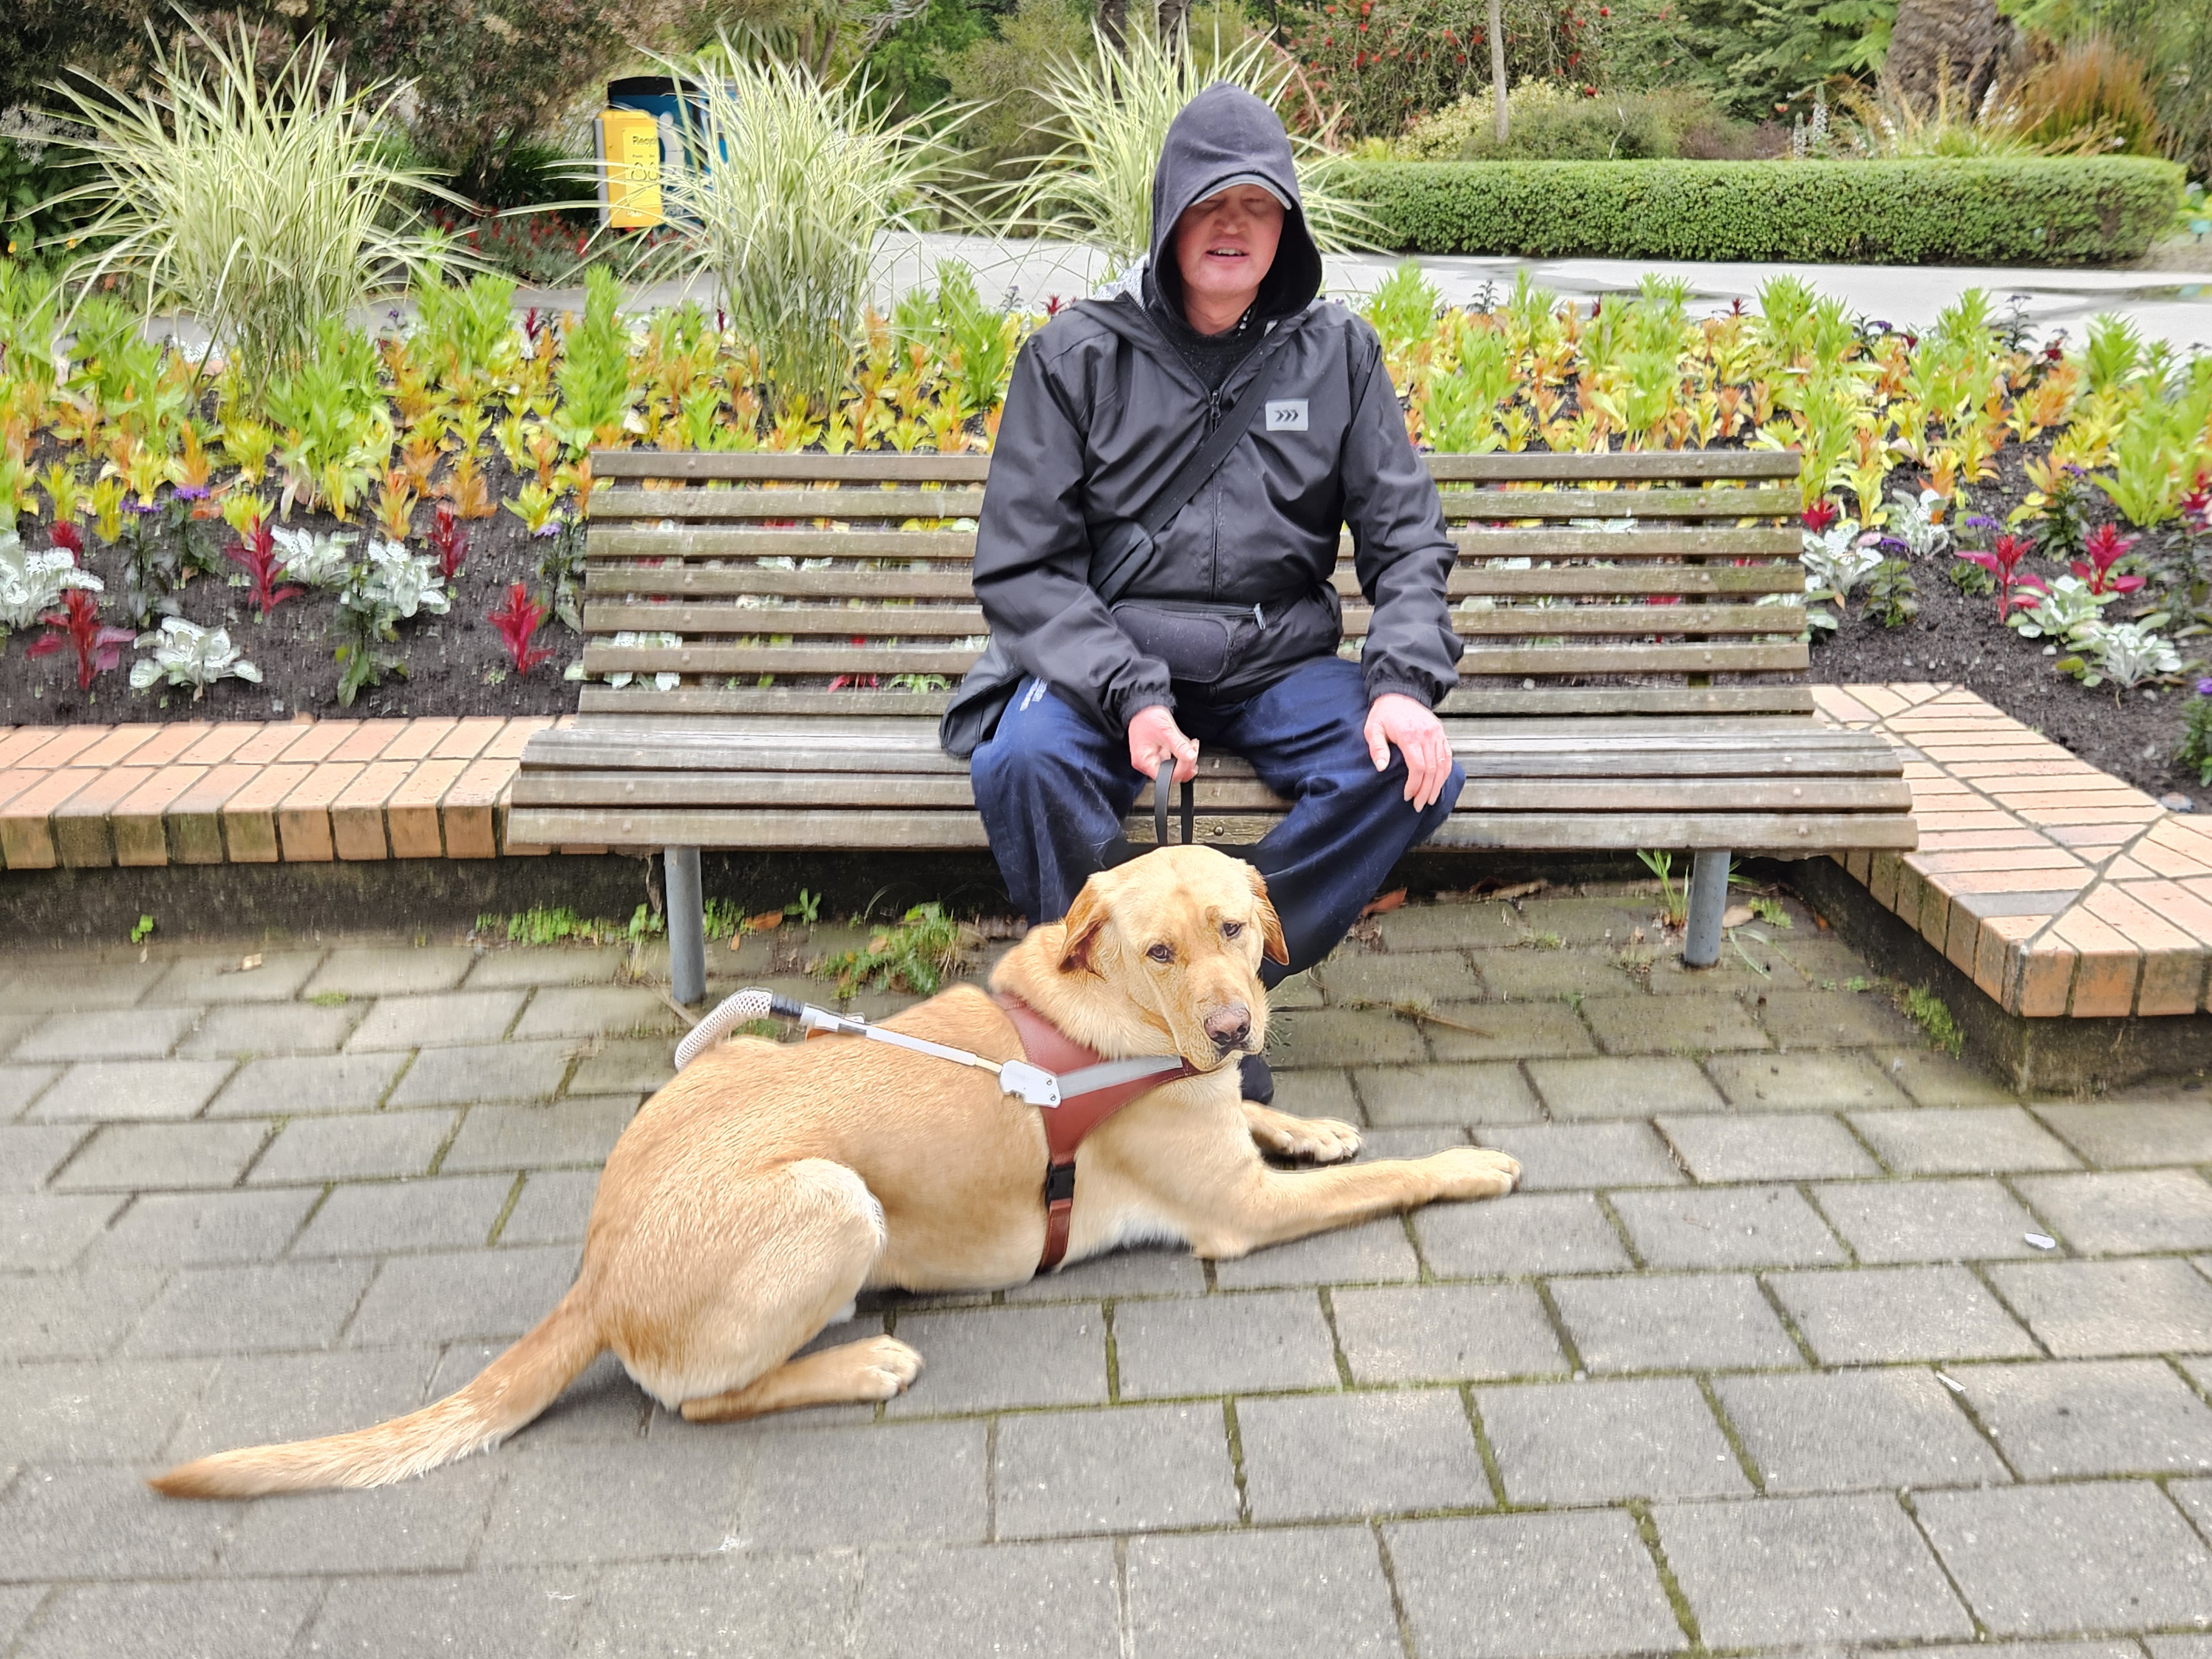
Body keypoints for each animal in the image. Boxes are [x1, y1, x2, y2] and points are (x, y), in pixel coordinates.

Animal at [152, 849, 1522, 1504]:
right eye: (1158, 951)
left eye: (1236, 928)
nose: (1237, 1028)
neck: (1105, 1029)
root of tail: (597, 1270)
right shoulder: (1235, 1213)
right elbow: (1394, 1180)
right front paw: (1464, 1159)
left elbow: (1288, 1131)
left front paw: (1315, 1122)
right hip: (830, 1199)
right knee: (702, 1404)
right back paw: (858, 1362)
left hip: (740, 1056)